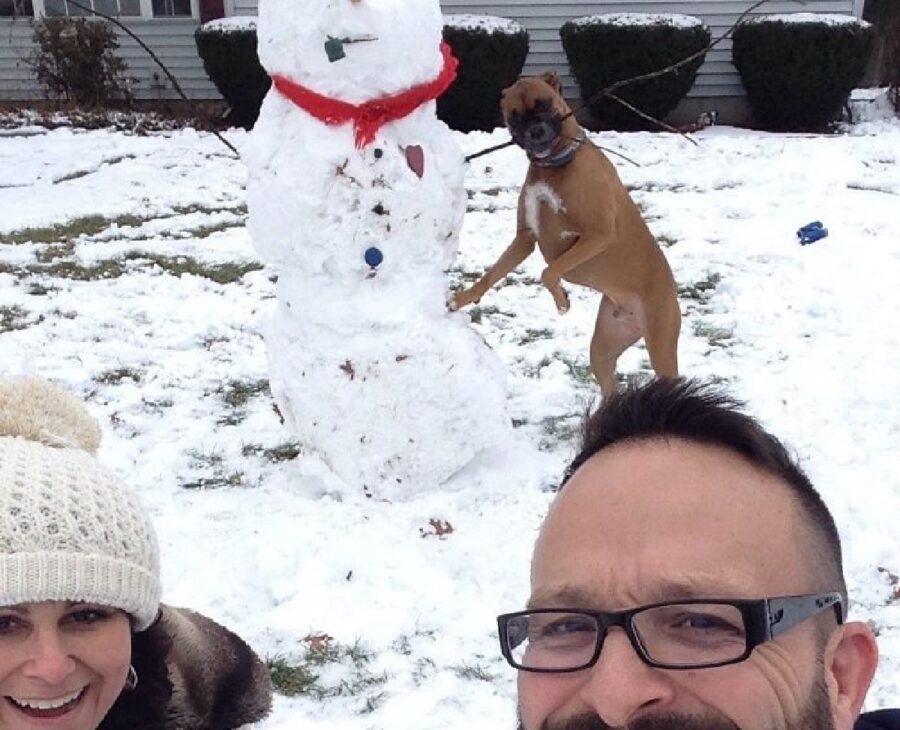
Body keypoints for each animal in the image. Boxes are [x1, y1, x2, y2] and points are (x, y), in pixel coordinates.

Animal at [454, 71, 680, 396]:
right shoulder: (524, 239)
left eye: (544, 104)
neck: (554, 166)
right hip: (603, 350)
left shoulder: (598, 234)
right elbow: (492, 274)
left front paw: (562, 300)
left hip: (661, 346)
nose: (535, 131)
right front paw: (461, 299)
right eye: (515, 116)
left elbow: (548, 272)